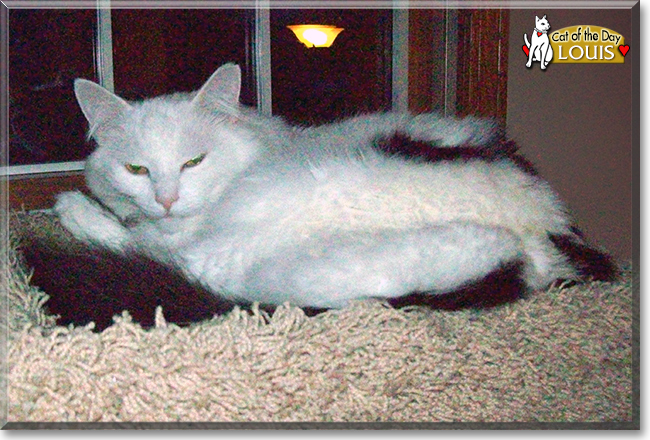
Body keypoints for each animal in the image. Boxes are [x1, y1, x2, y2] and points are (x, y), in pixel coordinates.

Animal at [55, 63, 584, 310]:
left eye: (193, 163)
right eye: (136, 170)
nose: (165, 200)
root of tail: (542, 240)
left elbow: (142, 239)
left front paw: (84, 211)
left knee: (188, 266)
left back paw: (73, 211)